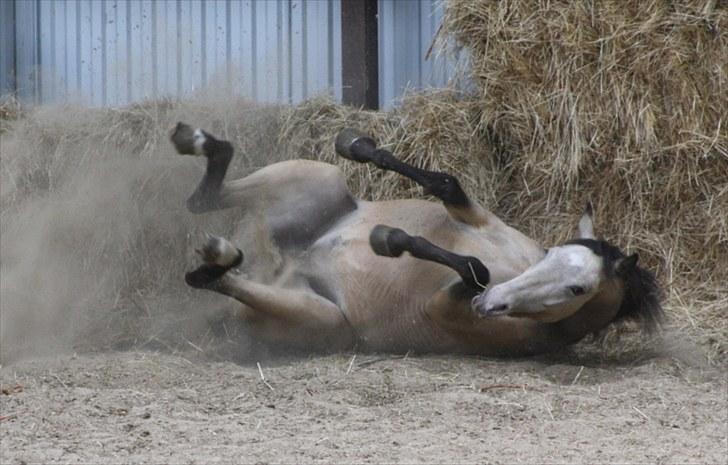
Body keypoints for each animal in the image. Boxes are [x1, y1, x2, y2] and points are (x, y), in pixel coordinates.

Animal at [168, 123, 664, 356]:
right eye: (555, 252)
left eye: (578, 289)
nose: (492, 303)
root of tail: (277, 264)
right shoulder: (476, 218)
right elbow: (446, 184)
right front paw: (358, 145)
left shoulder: (447, 303)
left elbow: (473, 267)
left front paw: (388, 238)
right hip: (317, 176)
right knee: (202, 198)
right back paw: (198, 141)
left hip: (324, 320)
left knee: (209, 275)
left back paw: (219, 254)